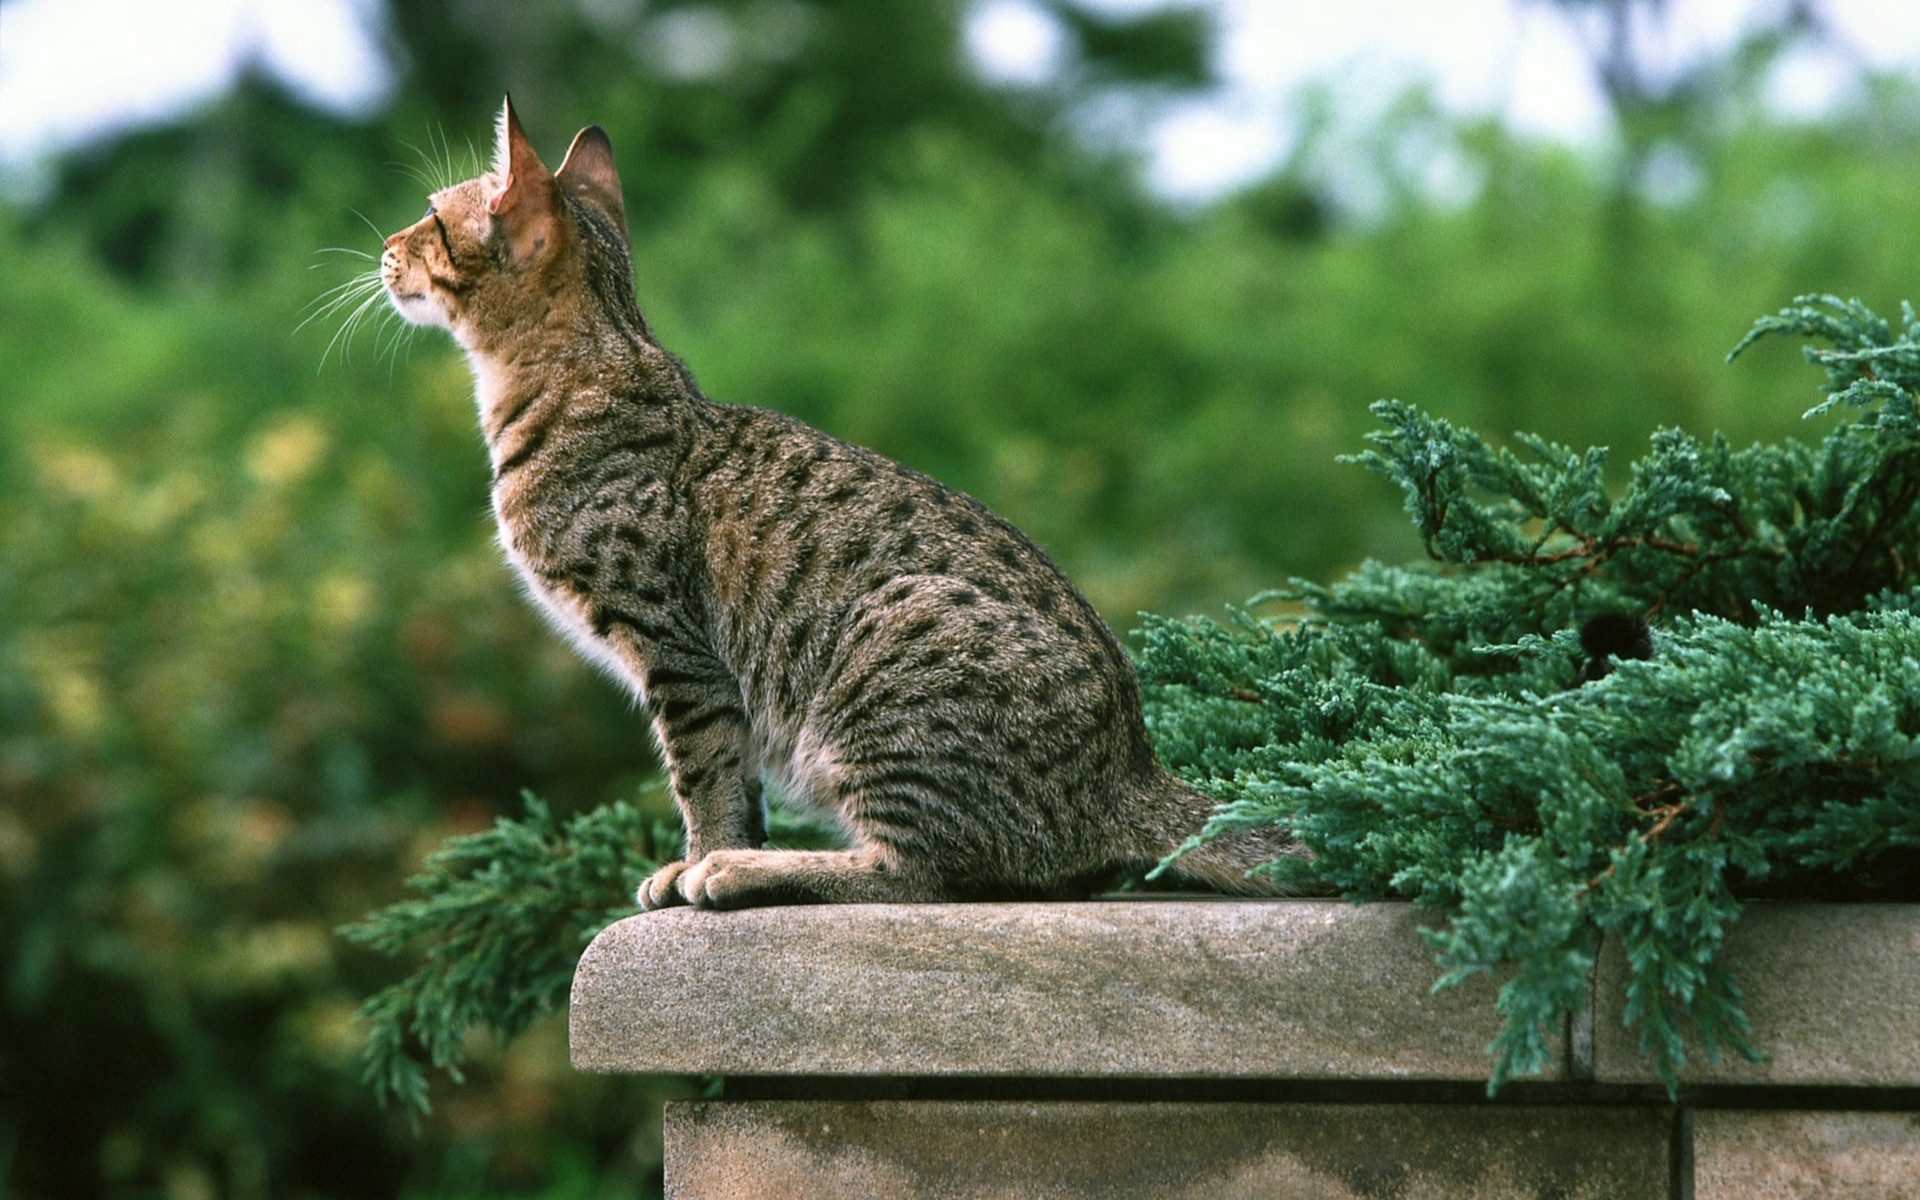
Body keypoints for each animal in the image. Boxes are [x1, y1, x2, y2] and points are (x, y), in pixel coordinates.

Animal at [374, 100, 1297, 906]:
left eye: (429, 216)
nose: (385, 243)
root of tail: (1132, 770)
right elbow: (737, 785)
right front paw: (716, 853)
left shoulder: (679, 654)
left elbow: (704, 779)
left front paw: (705, 860)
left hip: (888, 657)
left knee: (924, 875)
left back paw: (752, 873)